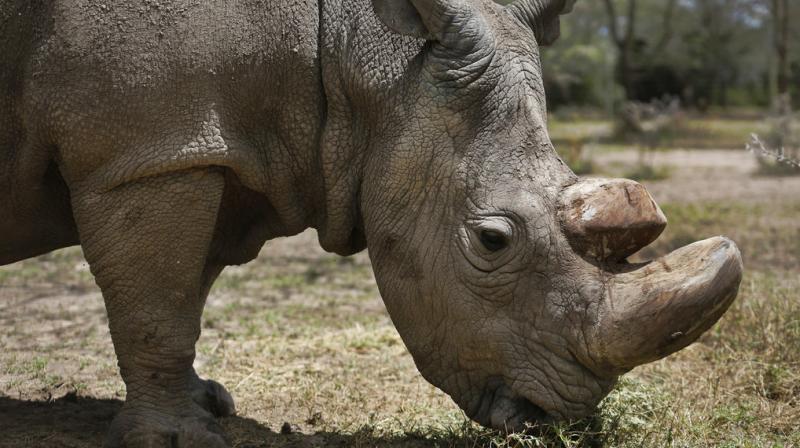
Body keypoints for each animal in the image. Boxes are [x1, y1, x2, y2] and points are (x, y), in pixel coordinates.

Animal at [0, 0, 743, 446]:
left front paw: (209, 404)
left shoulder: (198, 146)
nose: (561, 419)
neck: (349, 52)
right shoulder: (146, 152)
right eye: (492, 240)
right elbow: (159, 304)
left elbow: (183, 291)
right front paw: (177, 439)